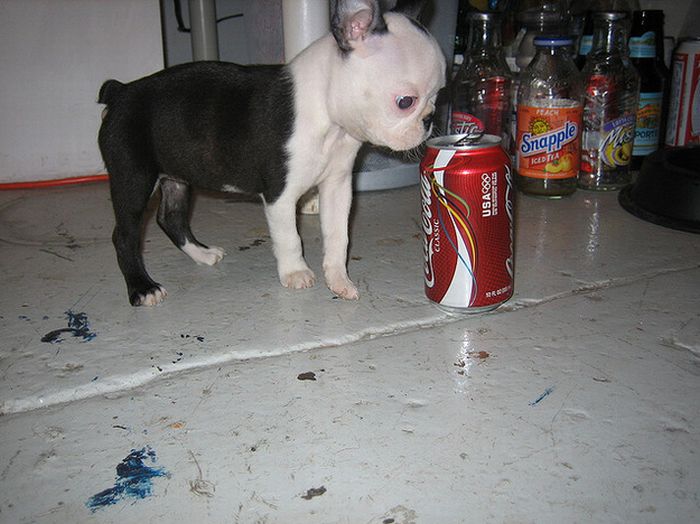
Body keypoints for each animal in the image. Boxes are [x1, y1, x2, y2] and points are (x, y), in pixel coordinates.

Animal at [96, 0, 446, 308]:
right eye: (405, 102)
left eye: (439, 95)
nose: (430, 120)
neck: (327, 116)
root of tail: (121, 91)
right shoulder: (280, 193)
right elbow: (290, 237)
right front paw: (296, 273)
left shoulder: (337, 186)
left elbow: (338, 235)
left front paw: (339, 280)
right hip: (133, 176)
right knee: (125, 234)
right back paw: (143, 288)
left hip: (176, 177)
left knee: (171, 217)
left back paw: (202, 254)